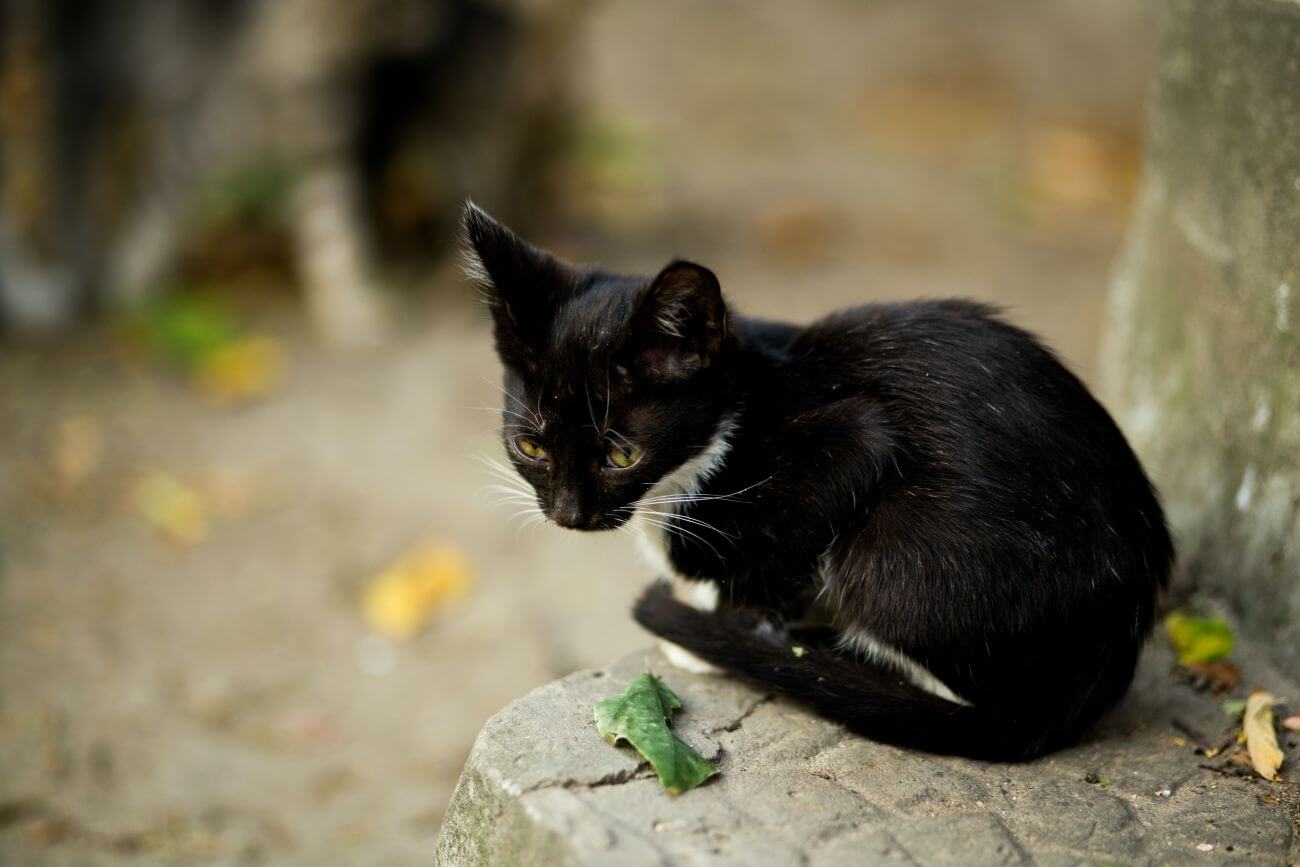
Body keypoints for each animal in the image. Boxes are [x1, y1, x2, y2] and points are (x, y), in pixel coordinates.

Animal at [465, 204, 1170, 759]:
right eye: (530, 446)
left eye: (622, 455)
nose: (569, 515)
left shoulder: (852, 439)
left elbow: (780, 552)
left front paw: (724, 629)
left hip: (899, 550)